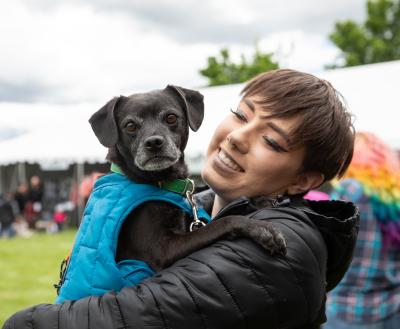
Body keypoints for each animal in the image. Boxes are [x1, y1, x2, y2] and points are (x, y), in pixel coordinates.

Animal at [90, 84, 284, 272]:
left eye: (171, 118)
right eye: (130, 126)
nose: (153, 143)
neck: (160, 182)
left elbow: (207, 203)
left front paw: (259, 200)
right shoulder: (161, 249)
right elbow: (221, 222)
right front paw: (259, 228)